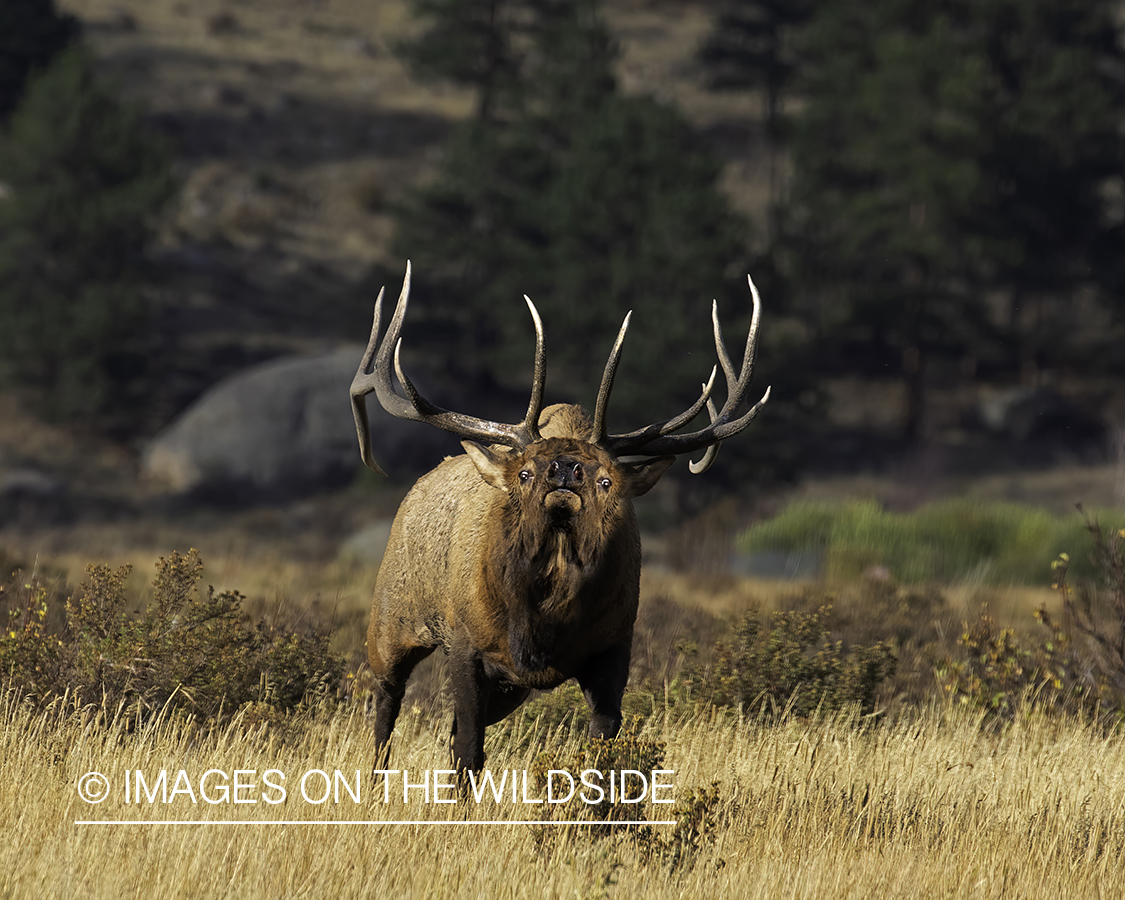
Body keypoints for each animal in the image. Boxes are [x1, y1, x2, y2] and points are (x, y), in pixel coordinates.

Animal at [351, 262, 774, 774]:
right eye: (525, 473)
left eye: (608, 480)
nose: (566, 469)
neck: (544, 623)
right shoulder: (467, 646)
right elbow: (469, 750)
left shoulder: (614, 648)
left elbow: (601, 750)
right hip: (390, 621)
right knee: (386, 713)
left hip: (509, 687)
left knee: (446, 733)